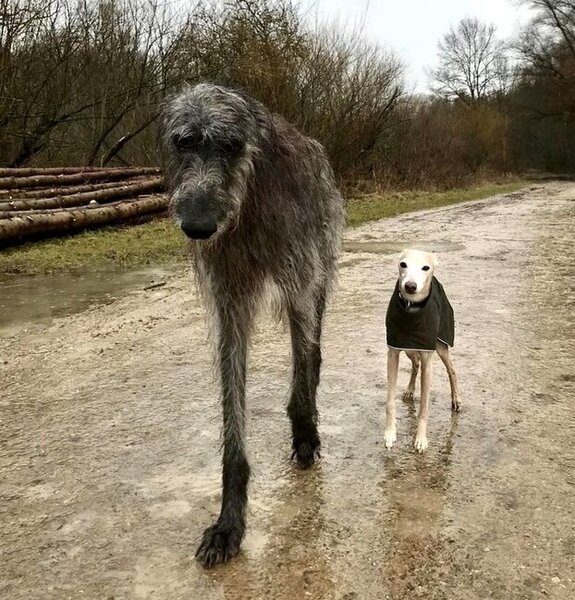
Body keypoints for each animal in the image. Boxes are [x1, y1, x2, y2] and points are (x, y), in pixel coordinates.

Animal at [160, 83, 344, 568]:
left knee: (311, 347)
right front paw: (229, 522)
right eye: (183, 142)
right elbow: (232, 399)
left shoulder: (299, 273)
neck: (248, 206)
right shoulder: (229, 299)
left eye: (231, 144)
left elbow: (302, 360)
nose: (197, 225)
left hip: (320, 264)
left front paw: (305, 432)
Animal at [384, 247, 462, 450]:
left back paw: (456, 399)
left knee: (451, 370)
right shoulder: (393, 353)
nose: (410, 286)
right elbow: (390, 401)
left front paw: (420, 440)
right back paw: (410, 390)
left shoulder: (428, 360)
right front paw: (389, 434)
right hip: (409, 349)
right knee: (415, 364)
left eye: (425, 267)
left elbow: (424, 407)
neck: (411, 310)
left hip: (441, 347)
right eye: (403, 264)